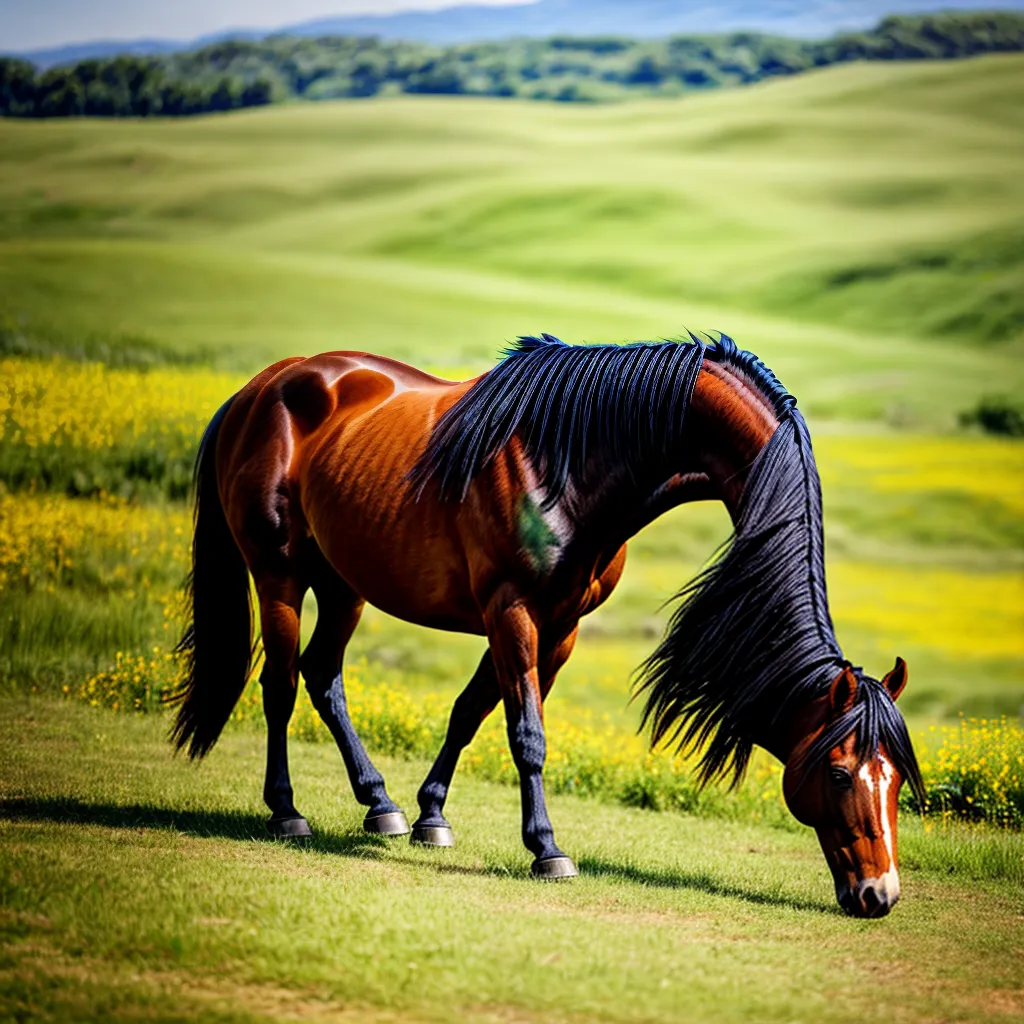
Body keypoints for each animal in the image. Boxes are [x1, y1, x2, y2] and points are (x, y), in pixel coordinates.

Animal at [171, 331, 923, 918]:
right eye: (839, 774)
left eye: (895, 779)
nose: (878, 895)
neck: (577, 455)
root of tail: (262, 386)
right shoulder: (512, 611)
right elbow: (526, 734)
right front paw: (547, 849)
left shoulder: (558, 626)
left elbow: (472, 712)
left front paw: (431, 814)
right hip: (280, 575)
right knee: (278, 687)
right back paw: (287, 811)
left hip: (345, 584)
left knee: (322, 676)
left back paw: (378, 803)